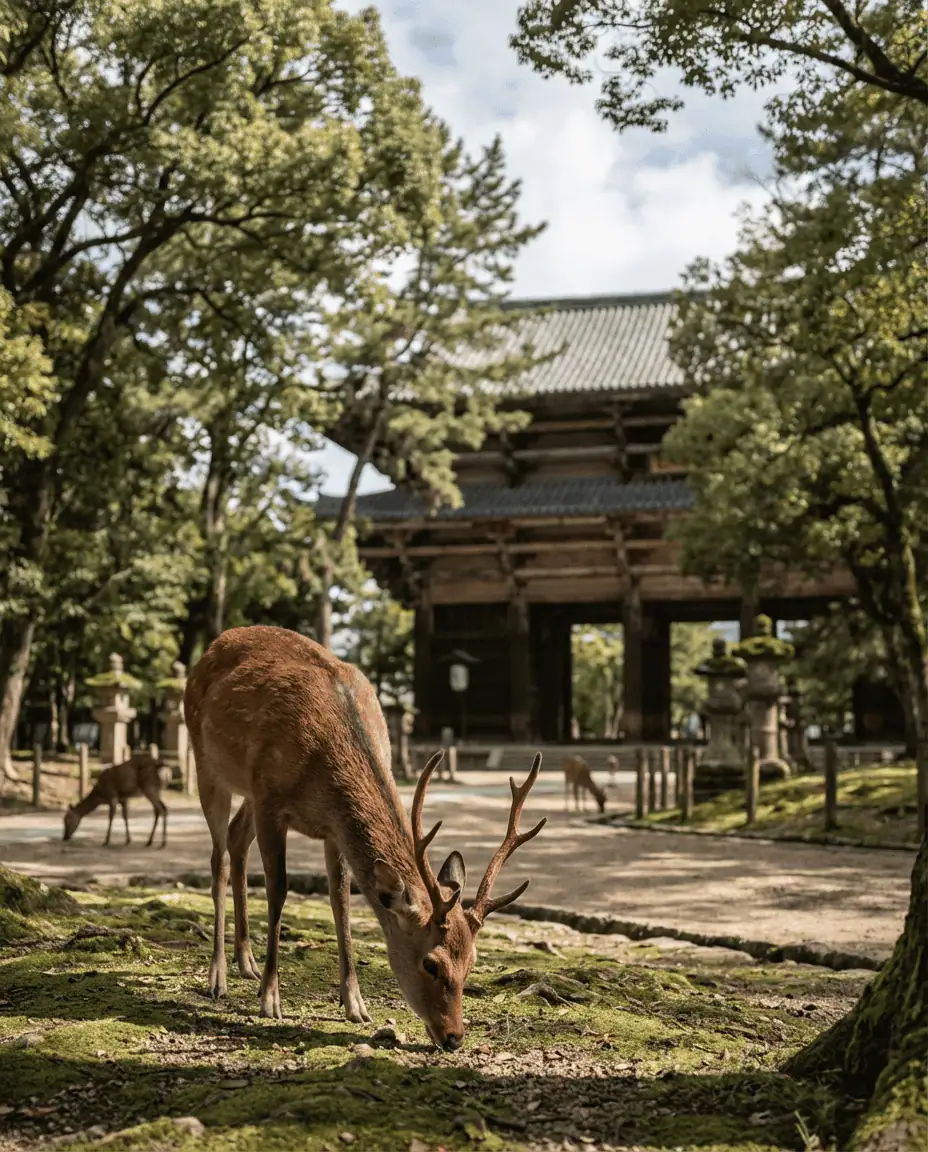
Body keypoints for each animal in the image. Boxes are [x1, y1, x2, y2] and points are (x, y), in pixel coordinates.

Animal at [183, 625, 545, 1051]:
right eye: (431, 963)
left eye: (472, 962)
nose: (454, 1036)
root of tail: (212, 647)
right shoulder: (271, 799)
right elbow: (279, 891)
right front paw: (271, 1000)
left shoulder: (331, 827)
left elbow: (341, 899)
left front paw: (355, 1003)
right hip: (207, 761)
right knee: (219, 858)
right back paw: (218, 976)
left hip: (247, 794)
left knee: (237, 839)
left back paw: (247, 963)